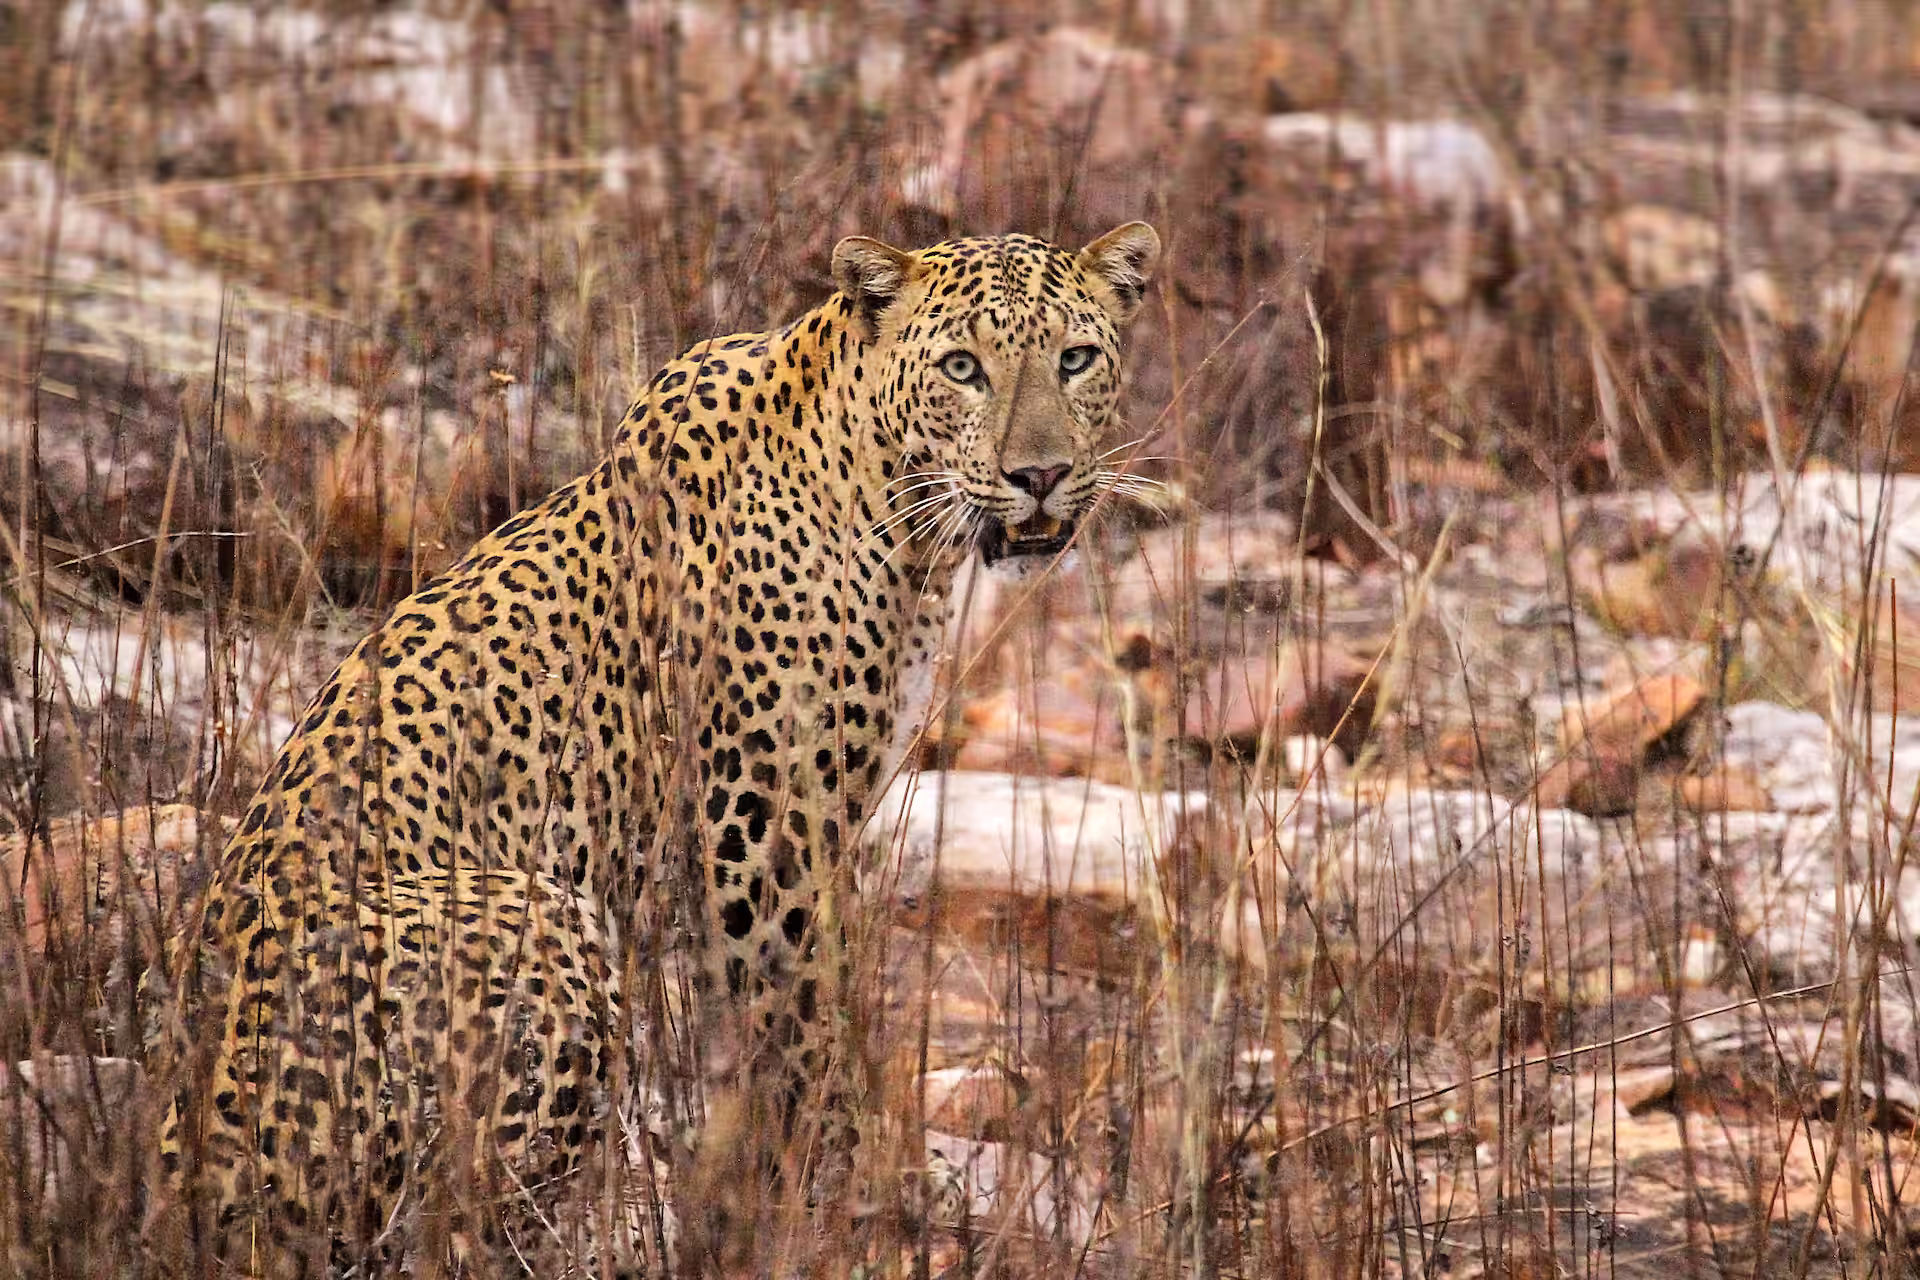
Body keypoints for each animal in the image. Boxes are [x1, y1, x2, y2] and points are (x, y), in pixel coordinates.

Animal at [148, 221, 1161, 1275]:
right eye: (964, 367)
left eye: (1074, 359)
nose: (1040, 476)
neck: (898, 517)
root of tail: (184, 1164)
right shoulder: (759, 835)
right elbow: (805, 1031)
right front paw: (844, 1194)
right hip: (541, 920)